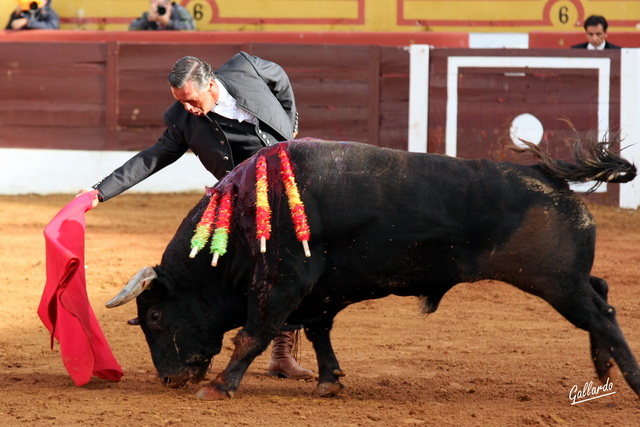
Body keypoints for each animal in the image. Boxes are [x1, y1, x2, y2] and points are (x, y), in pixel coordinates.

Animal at [104, 140, 636, 402]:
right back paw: (602, 368)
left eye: (154, 319)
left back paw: (629, 378)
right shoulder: (318, 293)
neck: (242, 217)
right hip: (563, 279)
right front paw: (329, 382)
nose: (170, 379)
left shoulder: (282, 281)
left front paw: (218, 387)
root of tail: (549, 177)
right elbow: (318, 332)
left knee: (603, 315)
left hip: (553, 280)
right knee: (602, 290)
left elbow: (252, 334)